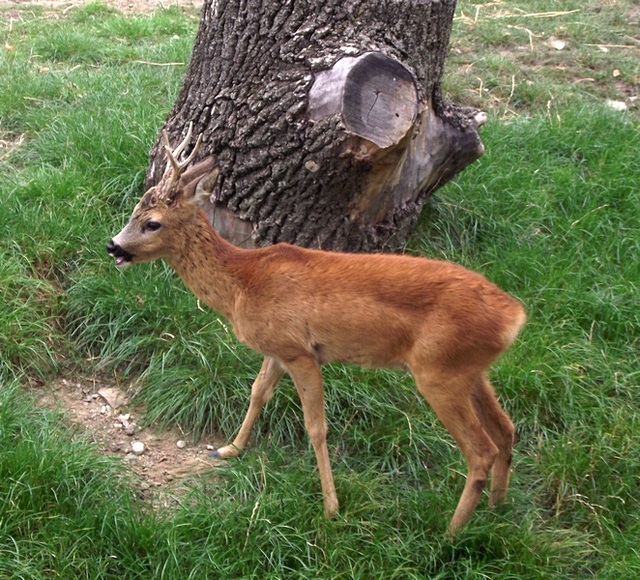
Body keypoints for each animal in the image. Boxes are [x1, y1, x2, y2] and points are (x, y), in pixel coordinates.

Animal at [107, 125, 526, 535]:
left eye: (152, 222)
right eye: (135, 210)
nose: (113, 246)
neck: (243, 284)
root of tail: (515, 317)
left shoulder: (300, 351)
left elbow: (316, 427)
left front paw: (331, 507)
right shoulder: (275, 349)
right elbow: (257, 393)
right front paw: (229, 449)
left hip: (438, 371)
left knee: (481, 450)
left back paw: (449, 535)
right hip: (468, 369)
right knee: (506, 429)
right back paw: (497, 508)